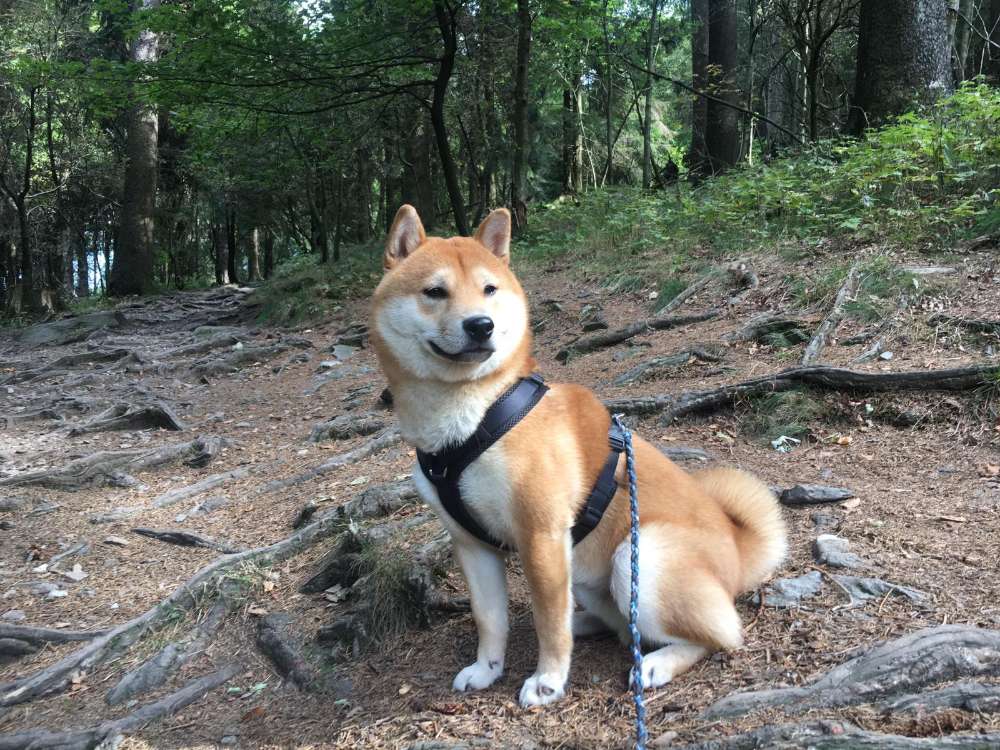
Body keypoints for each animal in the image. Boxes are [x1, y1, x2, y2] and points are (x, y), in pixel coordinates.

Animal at [370, 206, 788, 712]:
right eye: (435, 291)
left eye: (489, 289)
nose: (480, 325)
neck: (471, 421)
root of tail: (738, 551)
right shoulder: (471, 544)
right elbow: (490, 619)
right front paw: (487, 668)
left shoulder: (542, 534)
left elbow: (548, 621)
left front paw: (548, 679)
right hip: (594, 575)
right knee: (618, 623)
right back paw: (587, 624)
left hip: (637, 557)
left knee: (719, 635)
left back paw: (656, 663)